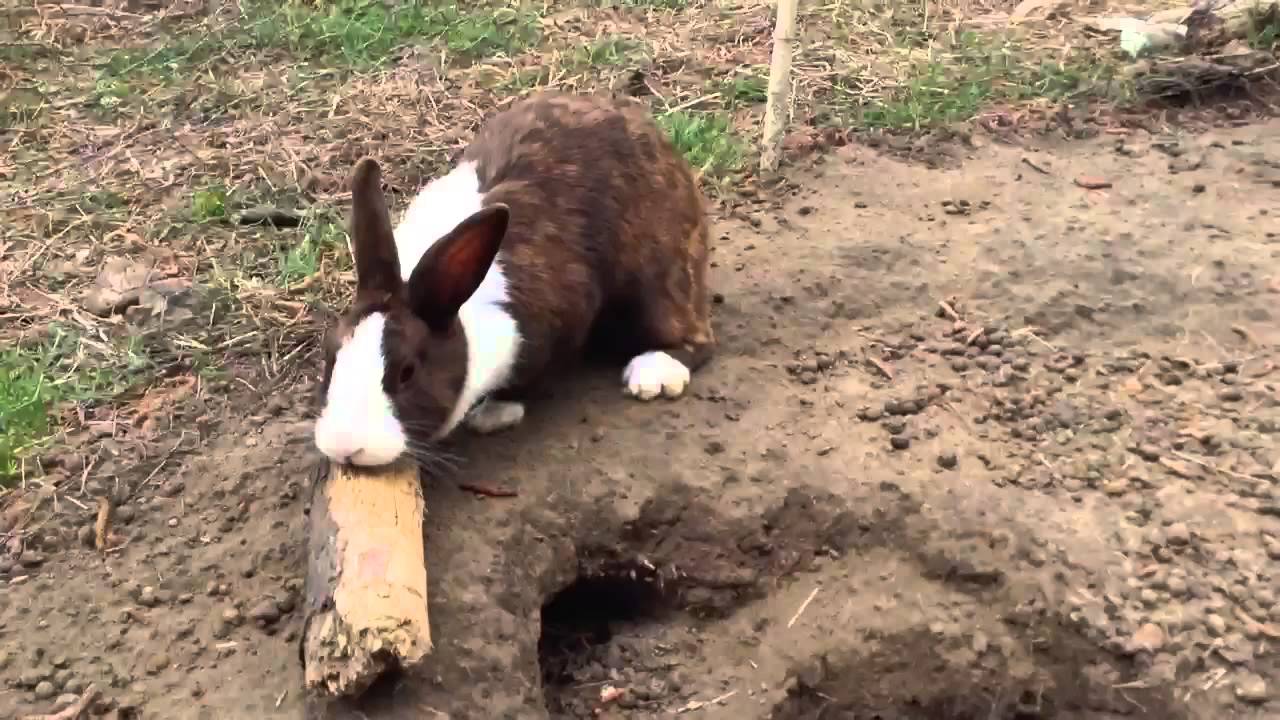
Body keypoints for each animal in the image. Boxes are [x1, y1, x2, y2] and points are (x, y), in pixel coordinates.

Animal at [313, 92, 715, 467]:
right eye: (330, 355)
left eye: (407, 372)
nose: (345, 447)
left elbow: (533, 377)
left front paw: (494, 413)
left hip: (658, 284)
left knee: (695, 336)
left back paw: (654, 373)